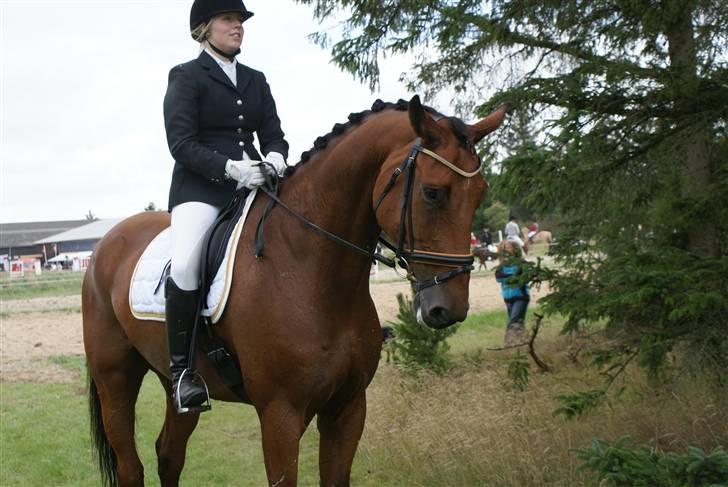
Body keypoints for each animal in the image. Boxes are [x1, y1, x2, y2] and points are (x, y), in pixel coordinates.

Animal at [84, 96, 506, 487]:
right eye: (432, 192)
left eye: (482, 192)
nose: (449, 309)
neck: (310, 271)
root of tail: (106, 244)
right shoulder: (280, 415)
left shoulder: (348, 407)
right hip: (114, 378)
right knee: (130, 466)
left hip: (174, 388)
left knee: (169, 454)